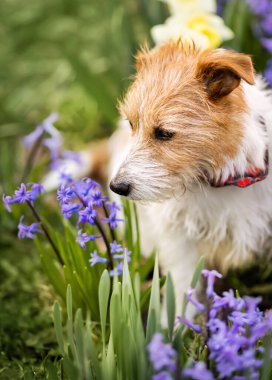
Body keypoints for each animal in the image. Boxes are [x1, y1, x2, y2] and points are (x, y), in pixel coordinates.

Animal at [109, 40, 272, 310]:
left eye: (164, 133)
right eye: (132, 124)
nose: (117, 187)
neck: (225, 180)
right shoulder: (181, 242)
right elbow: (182, 292)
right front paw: (171, 323)